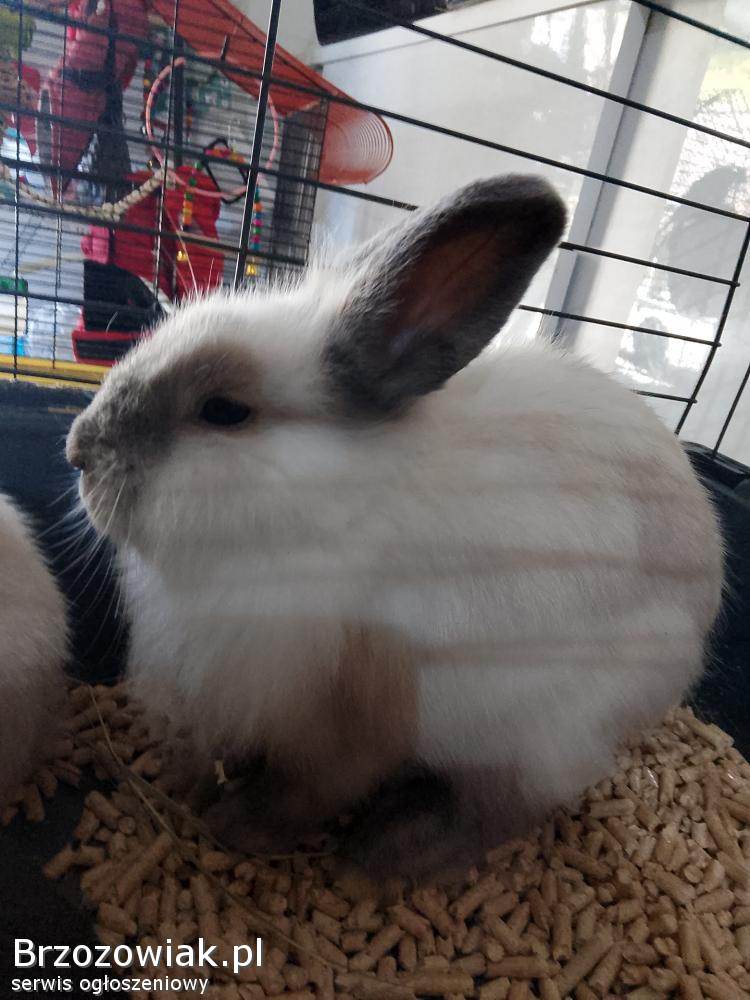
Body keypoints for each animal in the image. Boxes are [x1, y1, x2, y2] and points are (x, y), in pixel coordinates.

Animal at [66, 175, 723, 877]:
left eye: (223, 411)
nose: (78, 451)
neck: (326, 515)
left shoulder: (351, 723)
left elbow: (308, 792)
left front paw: (238, 825)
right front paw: (193, 786)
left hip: (543, 736)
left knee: (504, 808)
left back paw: (394, 850)